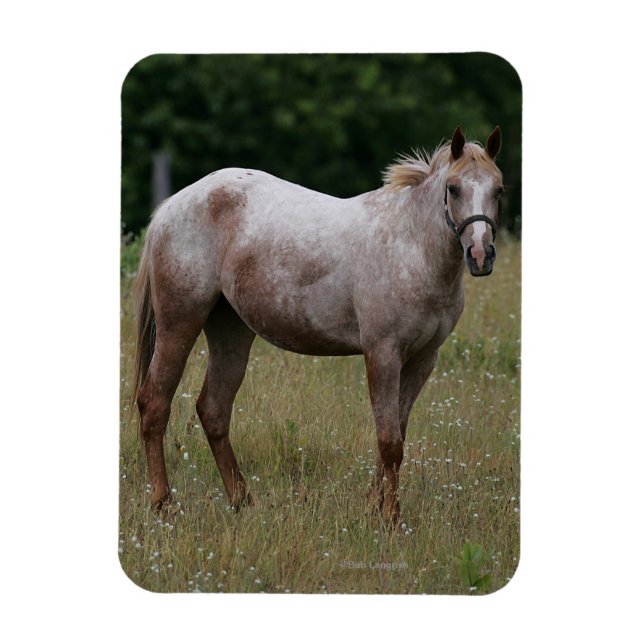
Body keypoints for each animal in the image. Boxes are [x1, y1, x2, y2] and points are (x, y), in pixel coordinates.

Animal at [132, 126, 504, 526]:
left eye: (498, 189)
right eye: (453, 188)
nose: (480, 255)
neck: (412, 247)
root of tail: (171, 206)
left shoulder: (423, 359)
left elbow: (396, 435)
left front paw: (373, 509)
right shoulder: (383, 354)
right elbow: (389, 441)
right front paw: (390, 519)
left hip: (230, 332)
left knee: (214, 410)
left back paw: (243, 502)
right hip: (179, 322)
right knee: (155, 404)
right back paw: (163, 503)